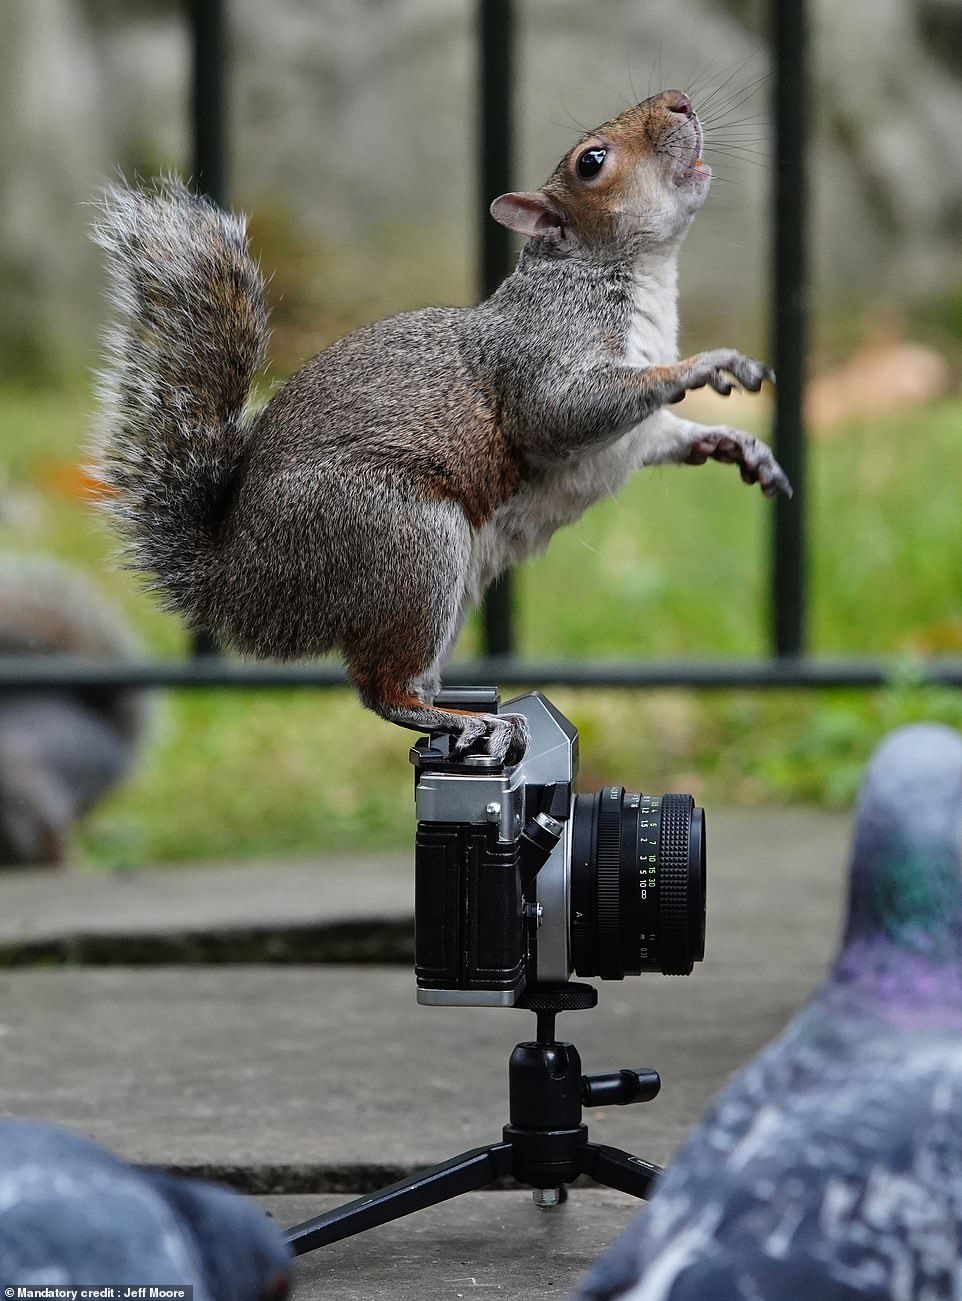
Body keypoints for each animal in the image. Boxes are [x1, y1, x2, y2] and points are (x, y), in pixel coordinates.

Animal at [94, 94, 791, 759]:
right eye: (590, 162)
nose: (680, 102)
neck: (624, 273)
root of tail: (243, 581)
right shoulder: (541, 357)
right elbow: (563, 412)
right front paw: (708, 363)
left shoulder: (639, 435)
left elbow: (667, 435)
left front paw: (739, 445)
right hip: (405, 540)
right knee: (381, 688)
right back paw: (464, 721)